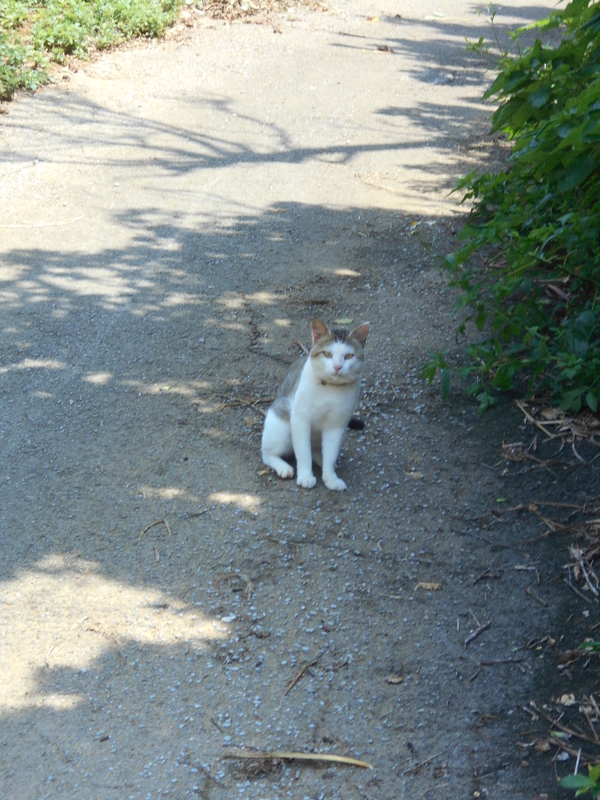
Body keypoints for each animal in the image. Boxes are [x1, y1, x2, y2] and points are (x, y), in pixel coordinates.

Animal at [261, 319, 369, 491]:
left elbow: (330, 454)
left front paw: (330, 477)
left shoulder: (336, 425)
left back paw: (321, 459)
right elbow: (303, 453)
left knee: (319, 451)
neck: (330, 388)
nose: (337, 366)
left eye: (348, 356)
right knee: (268, 454)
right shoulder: (300, 419)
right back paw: (283, 466)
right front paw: (305, 476)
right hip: (281, 426)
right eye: (327, 354)